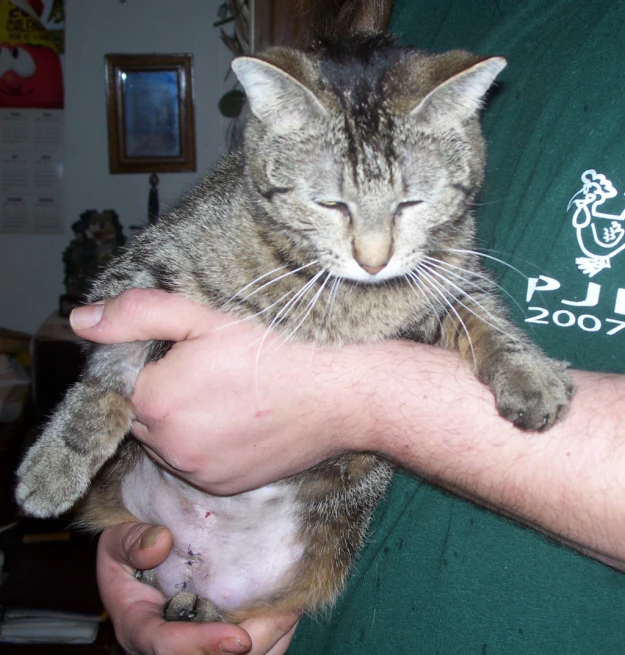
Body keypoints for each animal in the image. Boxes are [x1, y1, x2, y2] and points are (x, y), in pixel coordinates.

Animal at [14, 36, 572, 624]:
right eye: (329, 203)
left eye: (411, 203)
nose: (373, 260)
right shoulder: (140, 272)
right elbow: (108, 371)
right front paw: (55, 463)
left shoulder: (453, 280)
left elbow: (488, 320)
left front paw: (529, 375)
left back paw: (195, 609)